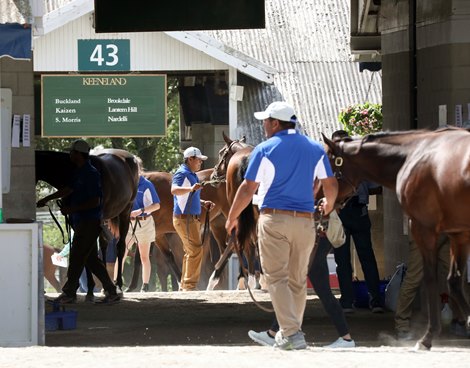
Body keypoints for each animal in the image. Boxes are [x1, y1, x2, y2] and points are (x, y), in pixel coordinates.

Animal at [35, 149, 139, 290]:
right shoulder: (74, 218)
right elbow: (84, 250)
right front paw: (90, 286)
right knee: (104, 244)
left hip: (125, 212)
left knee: (120, 246)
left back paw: (118, 283)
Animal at [324, 128, 470, 350]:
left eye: (327, 166)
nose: (318, 201)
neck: (413, 155)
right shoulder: (458, 233)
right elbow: (454, 281)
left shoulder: (424, 229)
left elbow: (431, 278)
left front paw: (427, 337)